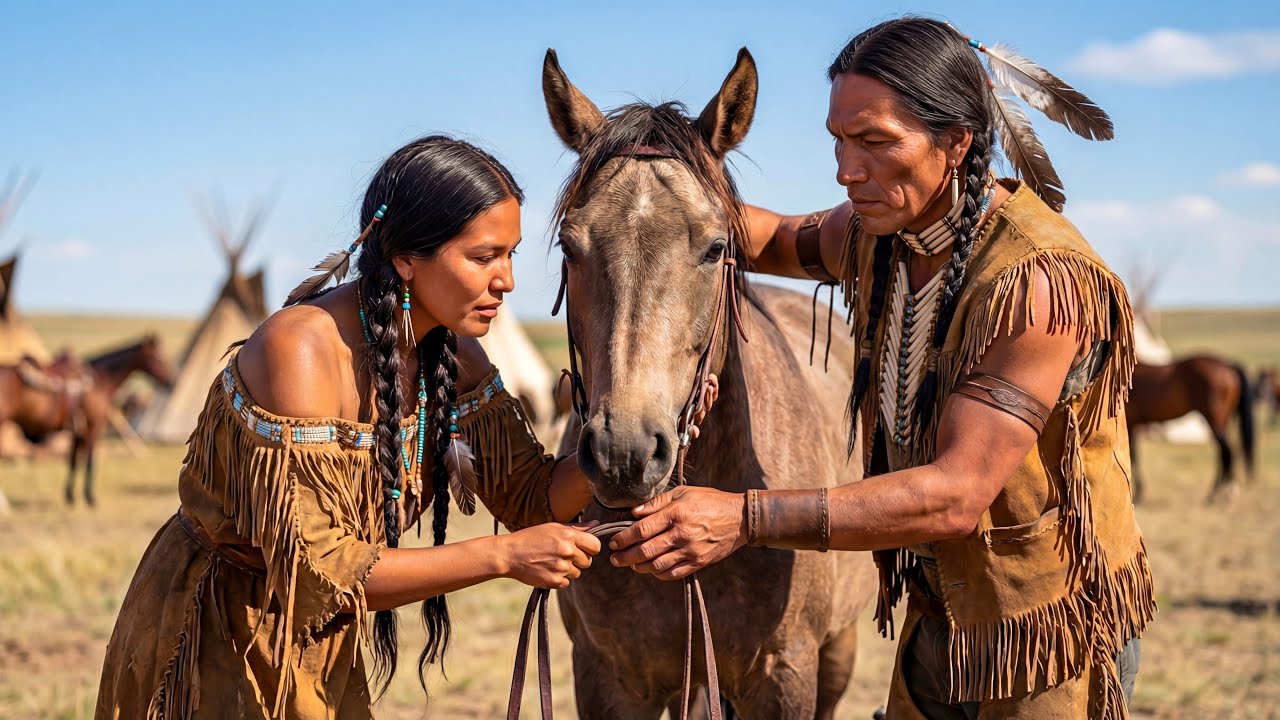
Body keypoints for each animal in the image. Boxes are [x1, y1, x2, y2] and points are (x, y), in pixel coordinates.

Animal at [0, 335, 175, 505]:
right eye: (159, 357)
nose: (171, 381)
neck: (101, 381)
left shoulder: (78, 430)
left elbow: (74, 459)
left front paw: (70, 496)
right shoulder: (94, 425)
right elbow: (90, 458)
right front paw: (89, 497)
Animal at [1126, 354, 1255, 503]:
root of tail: (1229, 366)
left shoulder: (1130, 424)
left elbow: (1132, 456)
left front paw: (1138, 493)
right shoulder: (1134, 426)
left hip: (1215, 422)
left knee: (1227, 452)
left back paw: (1223, 492)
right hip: (1223, 422)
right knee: (1223, 453)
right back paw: (1217, 492)